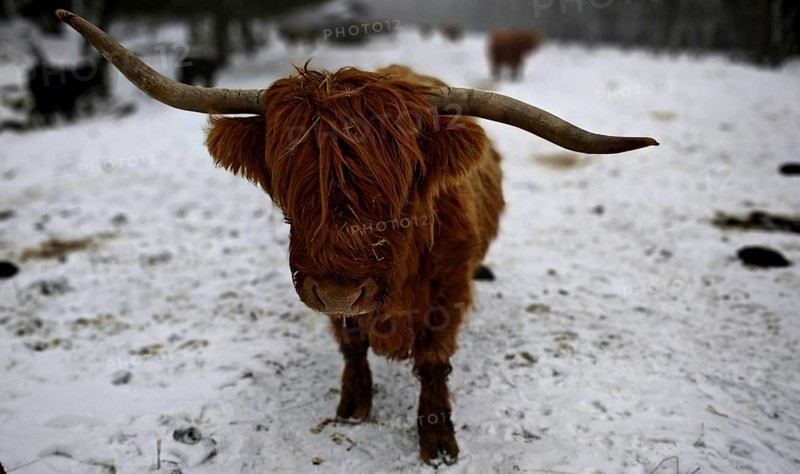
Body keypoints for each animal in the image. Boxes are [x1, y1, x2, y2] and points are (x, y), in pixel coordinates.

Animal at [55, 10, 657, 466]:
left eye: (402, 188)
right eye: (289, 185)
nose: (339, 290)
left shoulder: (449, 290)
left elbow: (433, 361)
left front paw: (438, 441)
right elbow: (351, 345)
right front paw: (352, 405)